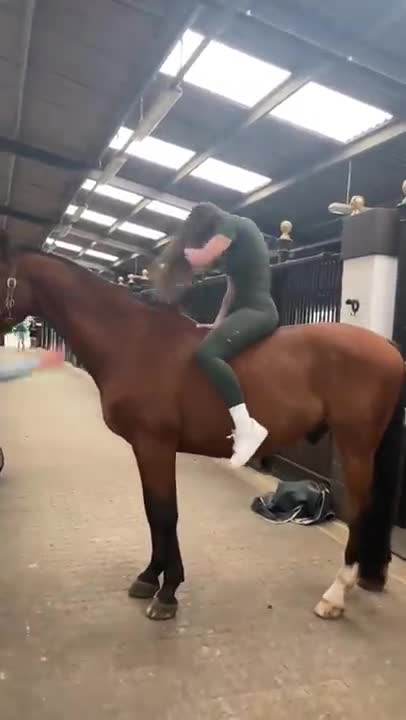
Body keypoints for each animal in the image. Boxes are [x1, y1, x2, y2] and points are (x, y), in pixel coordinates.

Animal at [0, 244, 404, 622]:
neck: (133, 341)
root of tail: (386, 346)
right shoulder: (146, 450)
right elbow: (153, 512)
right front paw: (150, 578)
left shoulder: (156, 446)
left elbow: (165, 514)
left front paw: (167, 593)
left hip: (355, 446)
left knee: (359, 509)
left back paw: (335, 594)